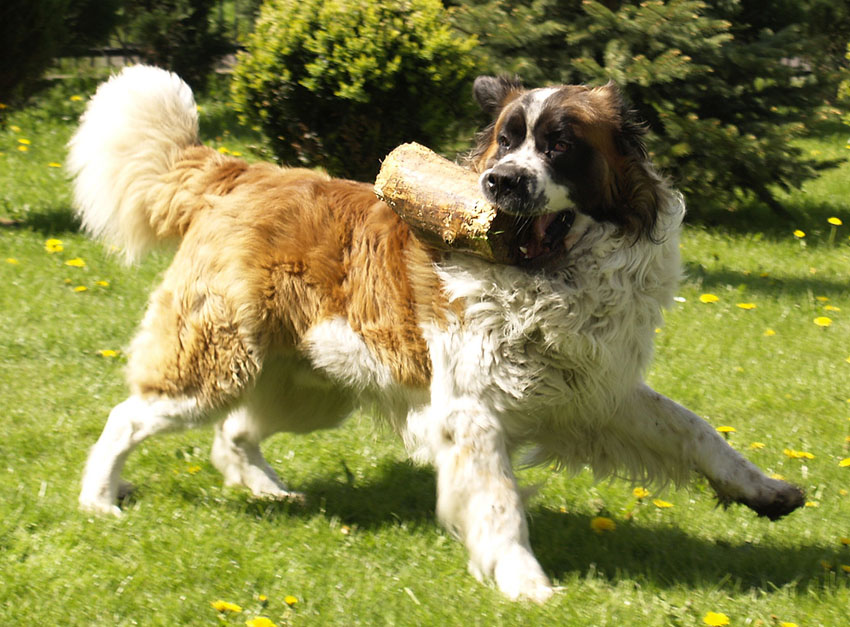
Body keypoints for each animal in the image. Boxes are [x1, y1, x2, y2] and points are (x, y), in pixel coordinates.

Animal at [68, 65, 800, 604]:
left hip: (311, 386)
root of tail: (247, 171)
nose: (501, 181)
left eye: (560, 144)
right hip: (217, 362)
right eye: (506, 140)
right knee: (130, 415)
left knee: (237, 429)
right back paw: (99, 500)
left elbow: (694, 430)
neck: (552, 280)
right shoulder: (473, 411)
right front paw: (526, 584)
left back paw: (266, 489)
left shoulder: (599, 392)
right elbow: (500, 503)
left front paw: (763, 490)